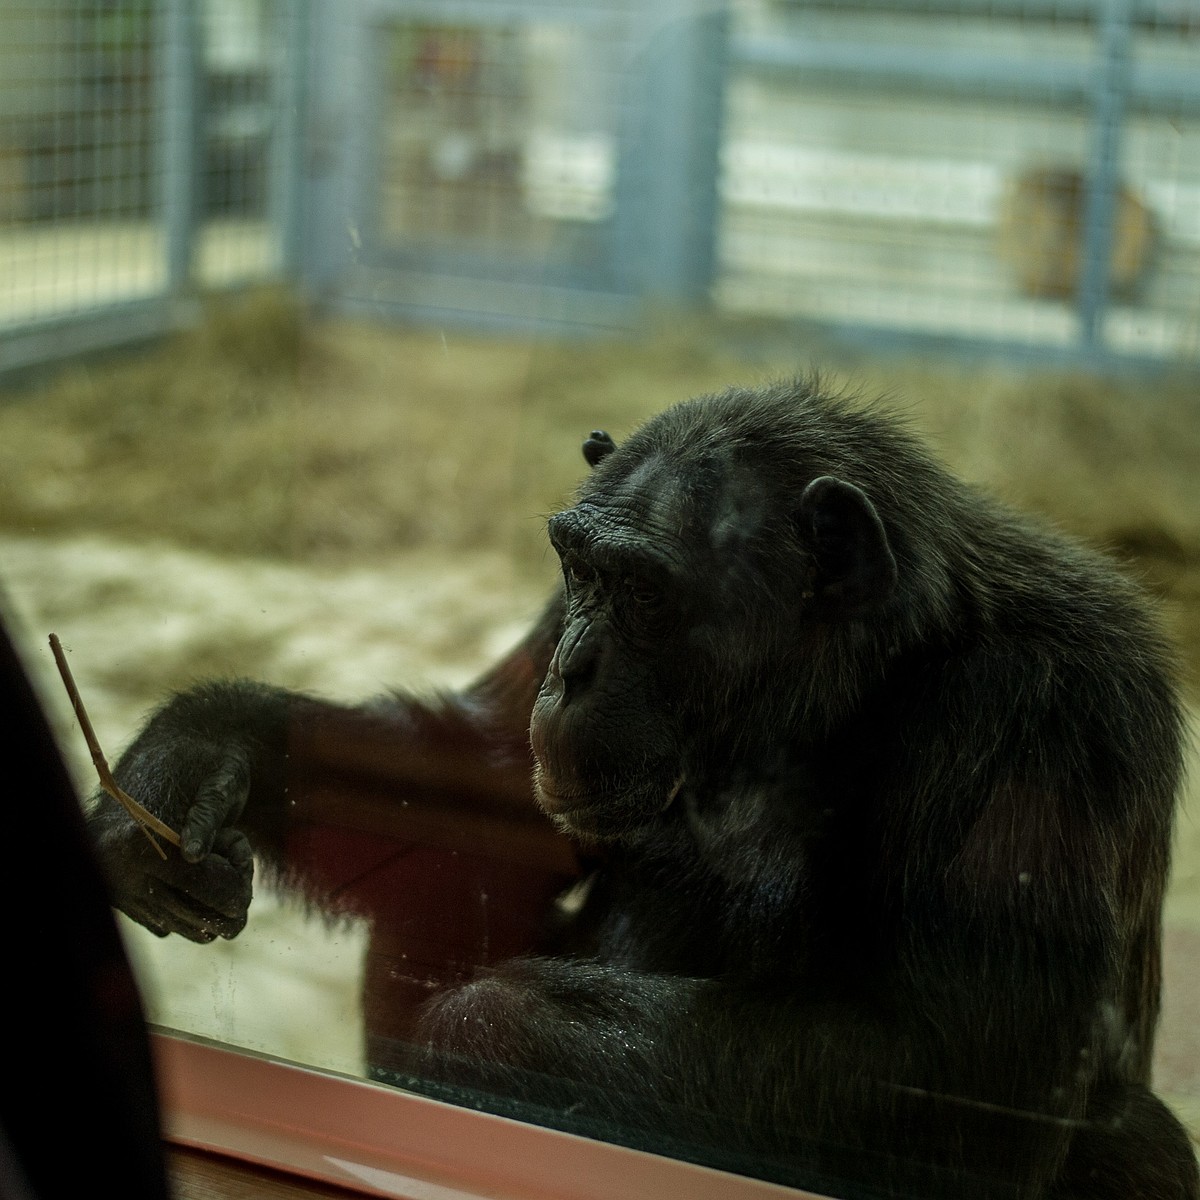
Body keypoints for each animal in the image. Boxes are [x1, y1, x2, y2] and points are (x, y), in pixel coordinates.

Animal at [87, 381, 1200, 1200]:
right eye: (581, 571)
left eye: (646, 592)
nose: (573, 669)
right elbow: (492, 791)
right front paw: (197, 754)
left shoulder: (1046, 713)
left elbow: (958, 1077)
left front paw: (478, 1032)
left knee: (1136, 1137)